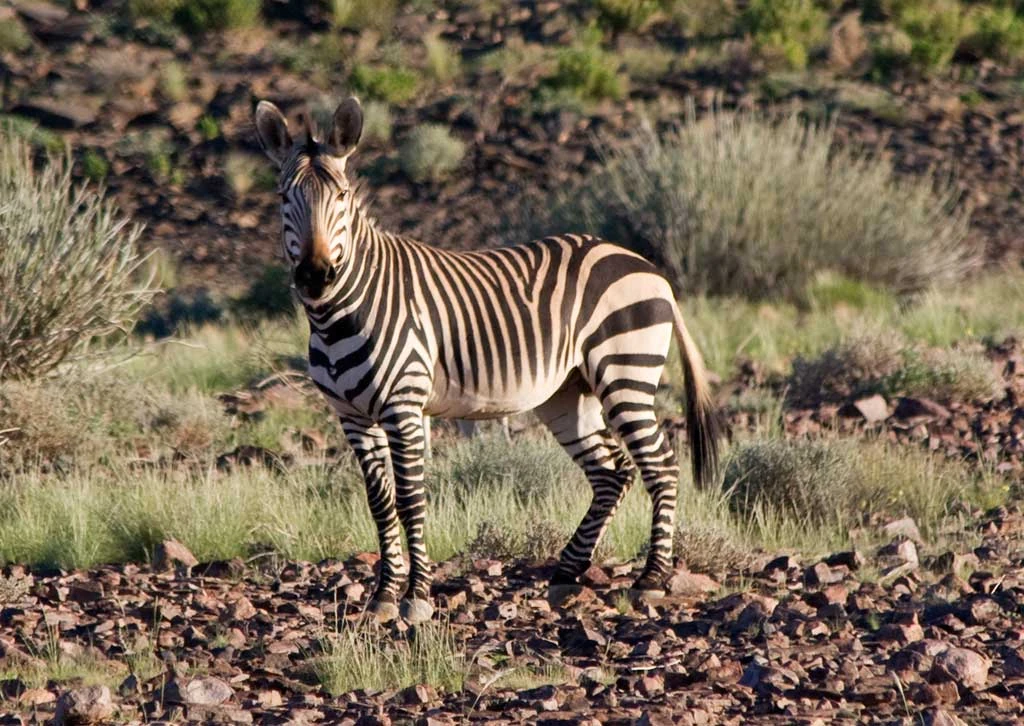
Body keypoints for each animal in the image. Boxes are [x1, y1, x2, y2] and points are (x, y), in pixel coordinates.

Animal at [254, 97, 721, 624]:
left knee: (660, 465)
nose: (315, 276)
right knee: (612, 471)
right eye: (283, 197)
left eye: (342, 196)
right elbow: (381, 504)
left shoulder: (403, 407)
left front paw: (416, 597)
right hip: (568, 393)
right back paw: (566, 574)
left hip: (625, 370)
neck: (337, 316)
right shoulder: (352, 417)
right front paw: (383, 597)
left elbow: (411, 500)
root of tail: (647, 267)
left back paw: (651, 580)